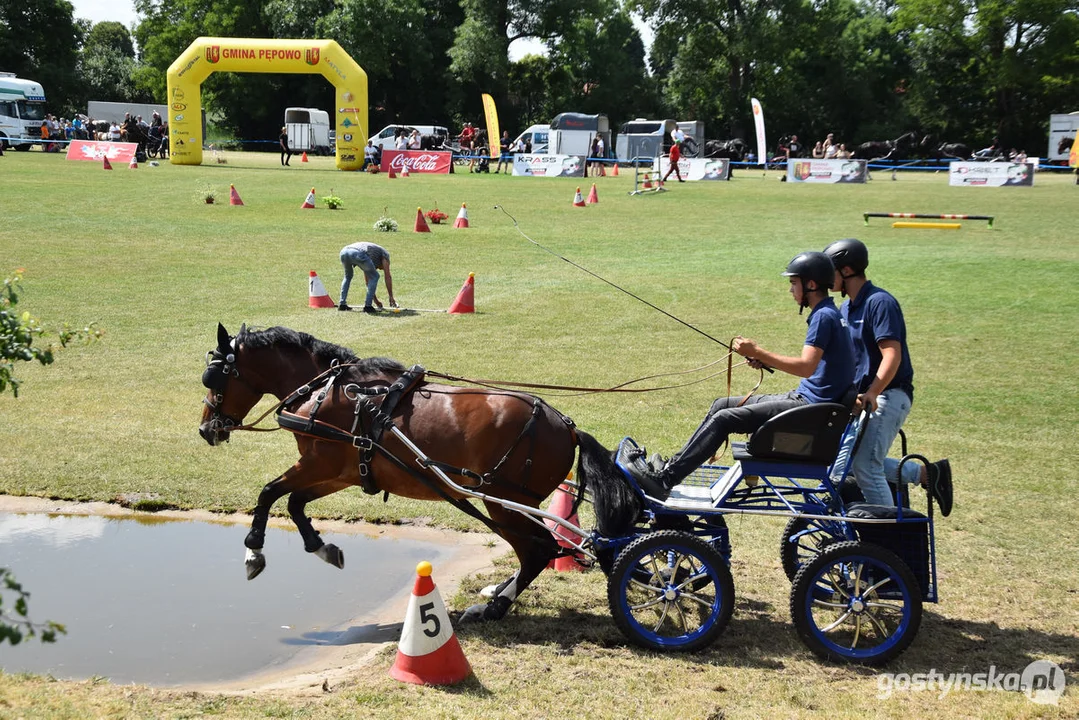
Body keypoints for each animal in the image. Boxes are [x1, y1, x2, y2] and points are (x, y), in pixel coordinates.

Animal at [197, 323, 634, 621]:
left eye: (215, 377)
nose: (206, 429)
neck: (327, 390)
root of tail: (567, 427)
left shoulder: (318, 463)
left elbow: (270, 492)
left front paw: (254, 551)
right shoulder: (341, 472)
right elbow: (295, 503)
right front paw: (323, 547)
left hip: (505, 501)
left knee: (538, 548)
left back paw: (494, 607)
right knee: (536, 550)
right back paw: (495, 598)